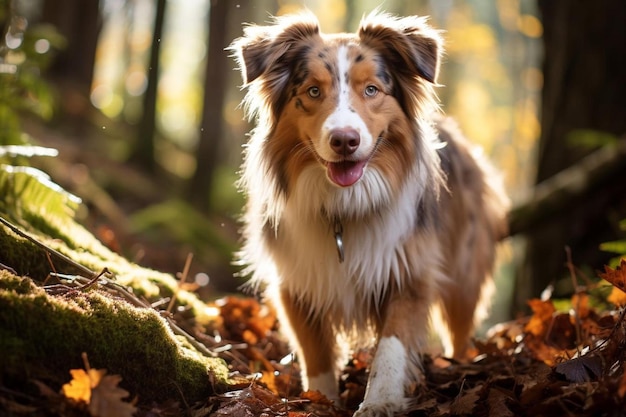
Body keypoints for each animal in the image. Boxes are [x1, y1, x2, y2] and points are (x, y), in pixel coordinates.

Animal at [229, 10, 508, 416]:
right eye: (313, 91)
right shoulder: (297, 281)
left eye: (372, 90)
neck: (345, 207)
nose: (344, 140)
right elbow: (316, 354)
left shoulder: (409, 271)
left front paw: (381, 400)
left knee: (459, 329)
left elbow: (391, 345)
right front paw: (321, 401)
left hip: (465, 272)